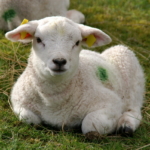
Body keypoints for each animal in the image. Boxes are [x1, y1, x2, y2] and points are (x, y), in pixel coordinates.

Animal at [5, 16, 145, 137]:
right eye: (38, 39)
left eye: (77, 42)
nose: (59, 61)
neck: (53, 102)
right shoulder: (19, 101)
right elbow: (29, 118)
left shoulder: (111, 103)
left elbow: (90, 123)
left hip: (131, 72)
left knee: (134, 108)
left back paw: (126, 125)